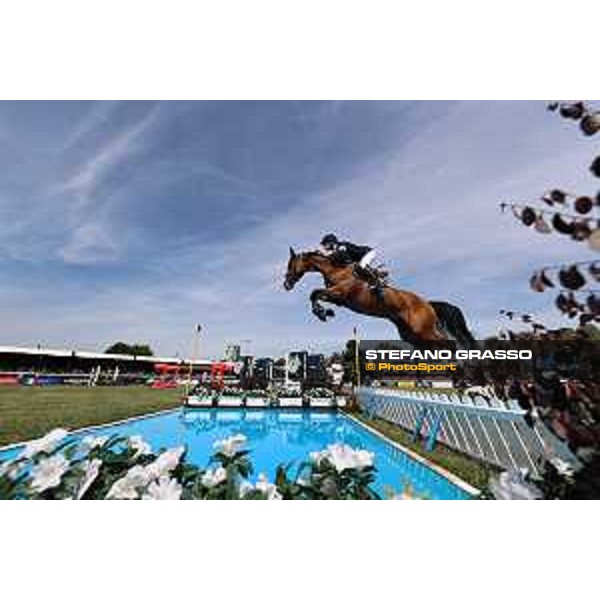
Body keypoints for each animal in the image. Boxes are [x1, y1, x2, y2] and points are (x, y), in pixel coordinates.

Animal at [284, 246, 476, 344]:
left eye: (290, 264)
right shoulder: (337, 298)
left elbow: (314, 293)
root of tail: (428, 304)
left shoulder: (341, 293)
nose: (286, 284)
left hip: (424, 330)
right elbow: (315, 296)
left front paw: (323, 314)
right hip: (411, 335)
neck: (336, 269)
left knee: (448, 343)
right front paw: (325, 312)